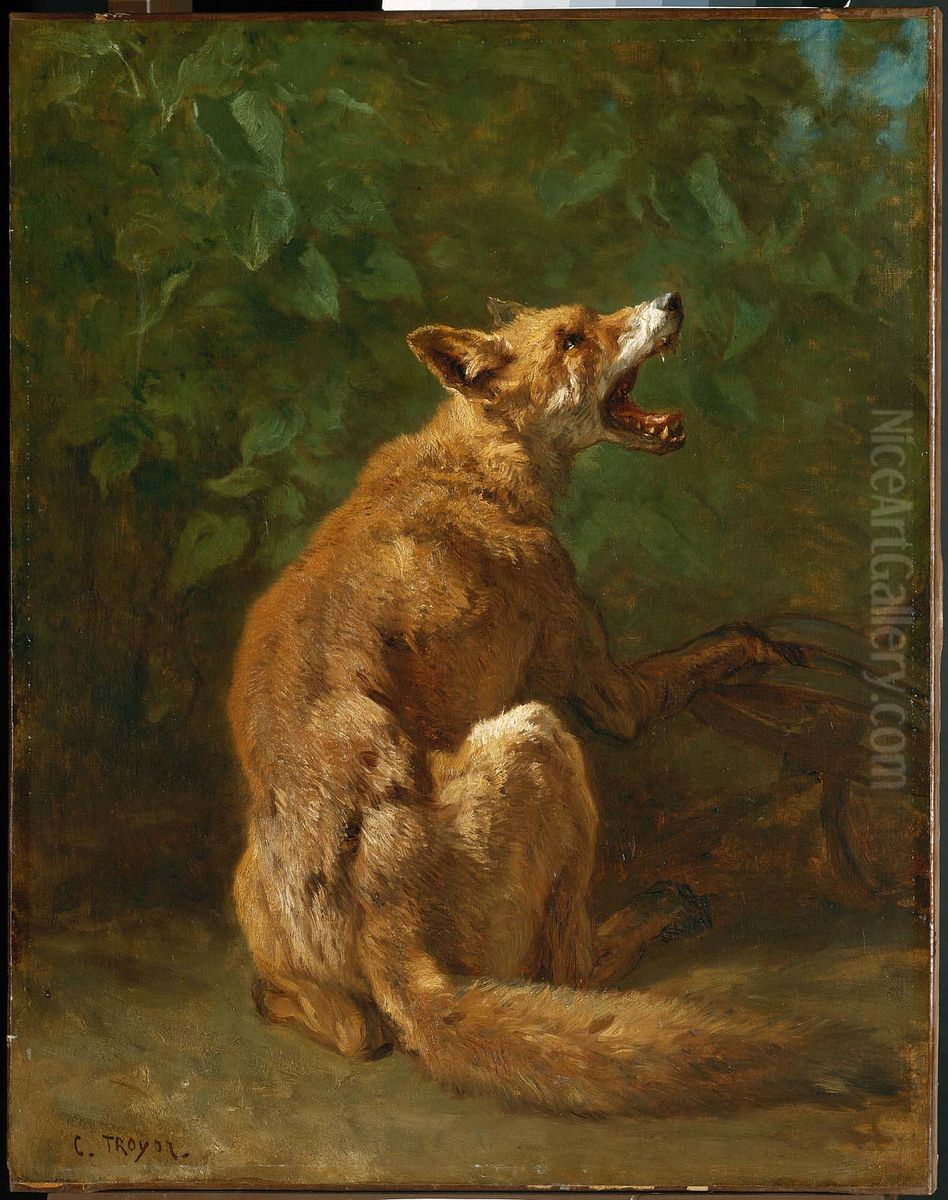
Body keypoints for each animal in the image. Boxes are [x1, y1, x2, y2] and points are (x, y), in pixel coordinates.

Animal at [228, 292, 893, 1116]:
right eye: (574, 338)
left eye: (593, 314)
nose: (672, 298)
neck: (478, 467)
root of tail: (387, 926)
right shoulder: (610, 691)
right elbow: (715, 649)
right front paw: (773, 645)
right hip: (542, 740)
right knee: (570, 971)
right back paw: (659, 912)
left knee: (352, 1030)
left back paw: (284, 1002)